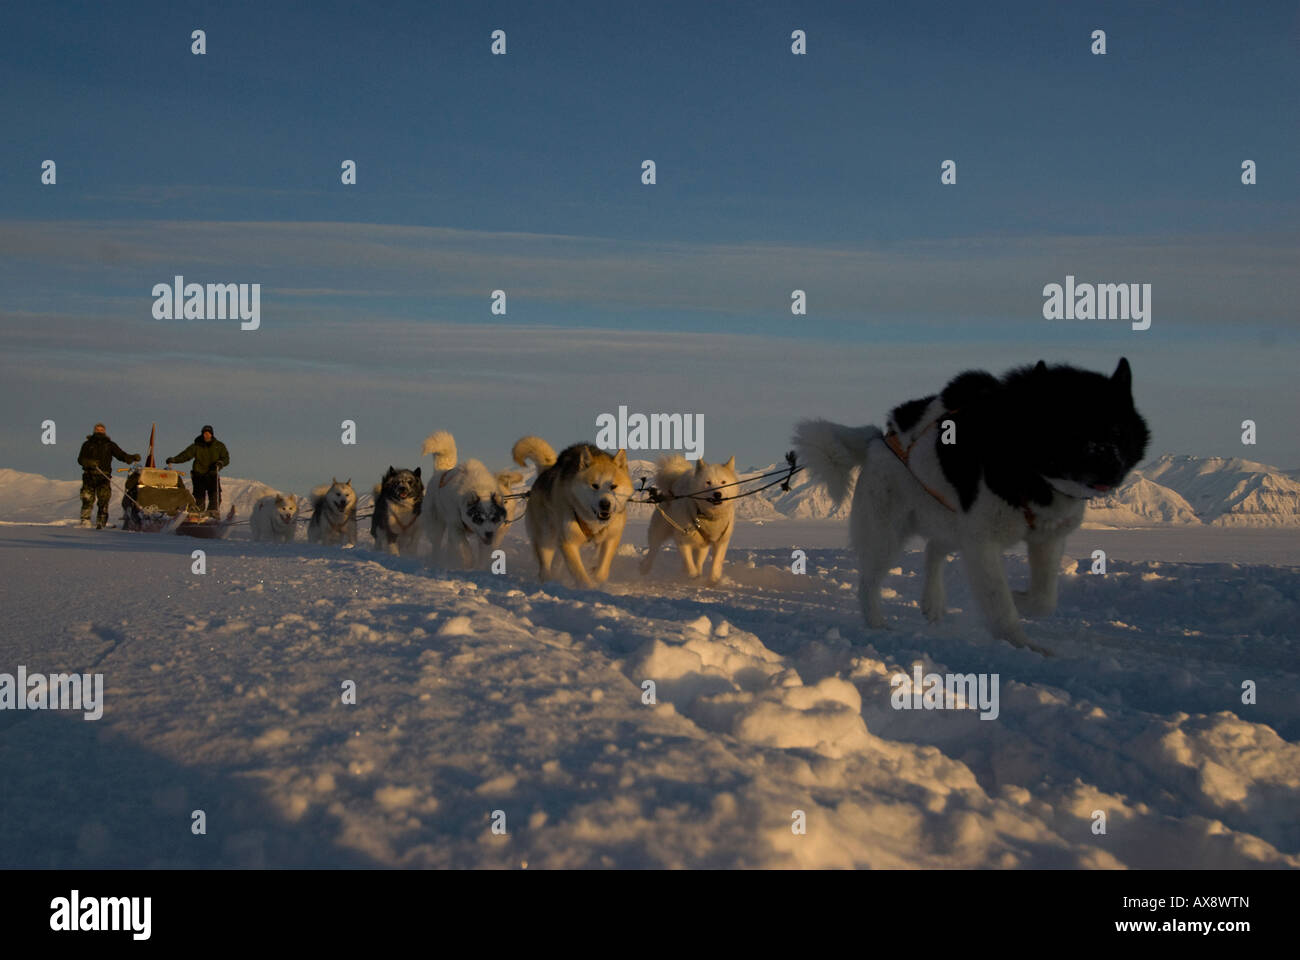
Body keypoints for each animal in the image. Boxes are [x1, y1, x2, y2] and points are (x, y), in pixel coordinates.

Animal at [421, 429, 522, 564]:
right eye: (479, 518)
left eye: (494, 518)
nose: (489, 534)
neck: (481, 490)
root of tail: (440, 472)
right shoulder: (456, 526)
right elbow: (465, 549)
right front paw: (469, 563)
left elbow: (483, 555)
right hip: (436, 524)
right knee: (436, 543)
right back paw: (437, 561)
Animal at [514, 434, 631, 582]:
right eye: (595, 485)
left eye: (613, 486)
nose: (605, 504)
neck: (593, 522)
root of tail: (546, 472)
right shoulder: (568, 542)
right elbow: (580, 574)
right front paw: (589, 585)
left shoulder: (611, 537)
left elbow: (602, 571)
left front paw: (597, 579)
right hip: (546, 537)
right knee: (545, 566)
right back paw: (549, 581)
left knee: (557, 561)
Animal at [790, 356, 1149, 655]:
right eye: (1074, 431)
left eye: (1118, 431)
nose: (1112, 467)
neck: (1029, 470)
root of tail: (877, 439)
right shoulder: (981, 541)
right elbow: (999, 601)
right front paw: (1022, 643)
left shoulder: (1046, 537)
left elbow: (1044, 599)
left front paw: (1020, 599)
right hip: (887, 534)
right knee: (869, 582)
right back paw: (877, 623)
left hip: (949, 522)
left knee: (933, 549)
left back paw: (933, 602)